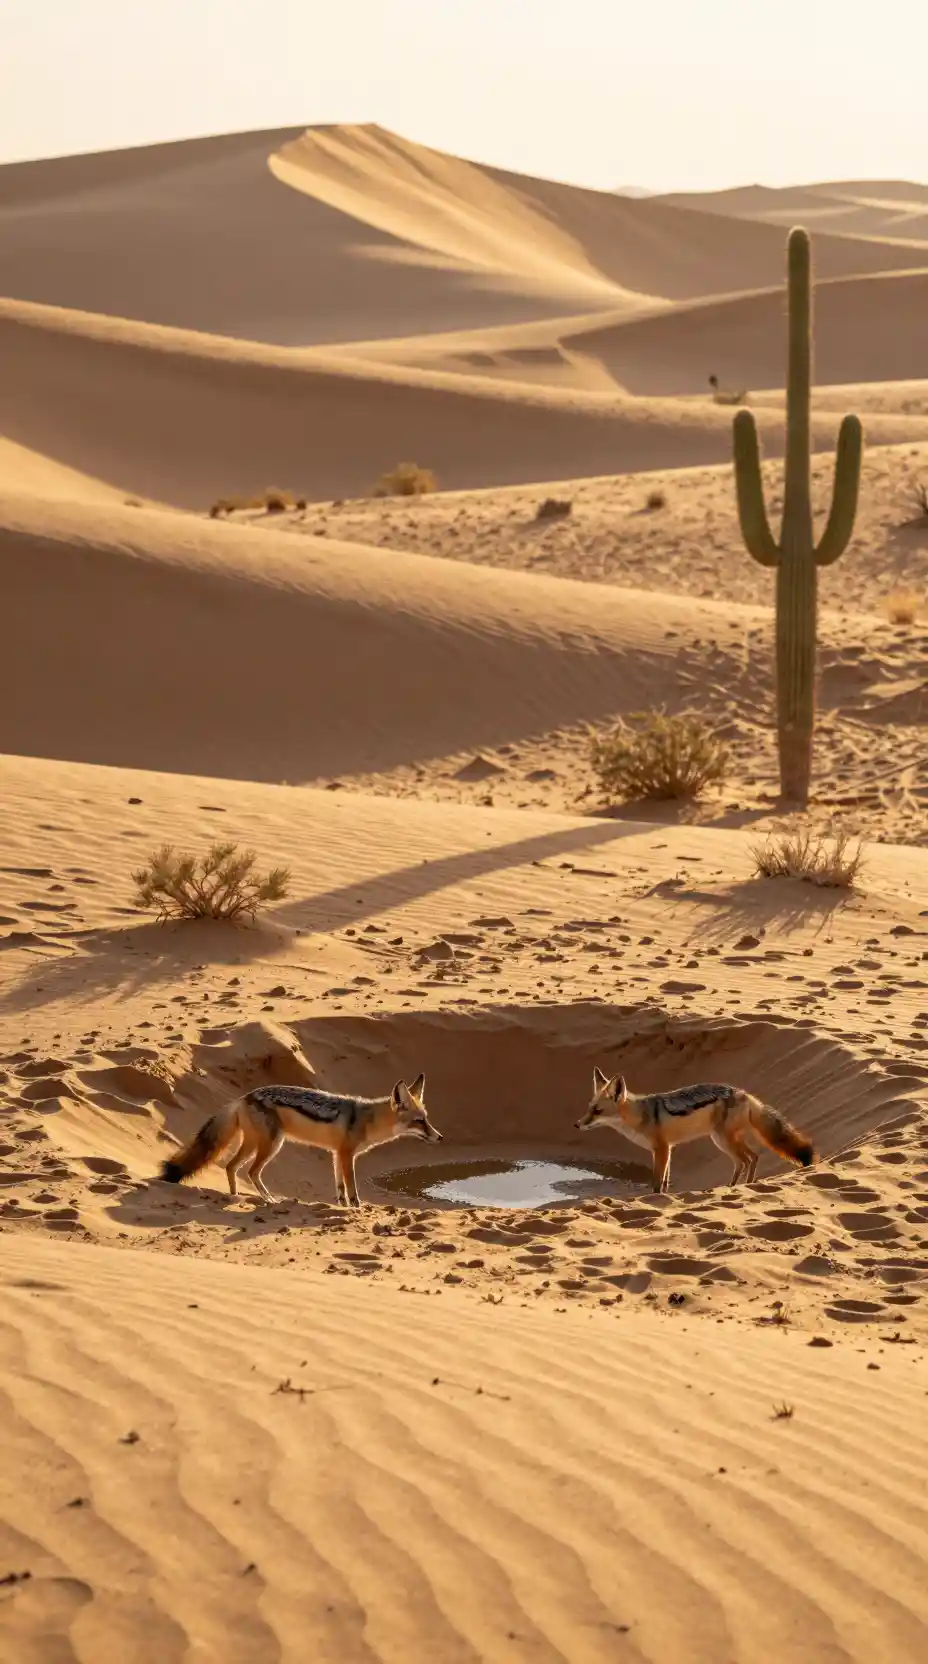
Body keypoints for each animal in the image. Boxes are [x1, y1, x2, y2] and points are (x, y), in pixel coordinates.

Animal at [159, 1074, 441, 1207]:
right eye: (420, 1121)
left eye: (426, 1119)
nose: (439, 1137)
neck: (366, 1119)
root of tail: (244, 1097)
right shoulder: (346, 1155)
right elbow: (352, 1190)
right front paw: (357, 1209)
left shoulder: (336, 1154)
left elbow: (340, 1189)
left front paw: (343, 1207)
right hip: (272, 1146)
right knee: (249, 1171)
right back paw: (267, 1200)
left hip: (253, 1145)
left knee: (230, 1167)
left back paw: (235, 1196)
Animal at [575, 1067, 816, 1194]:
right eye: (589, 1109)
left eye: (597, 1111)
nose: (576, 1125)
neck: (641, 1115)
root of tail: (743, 1092)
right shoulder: (667, 1149)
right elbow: (664, 1183)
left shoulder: (662, 1149)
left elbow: (657, 1183)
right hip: (723, 1141)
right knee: (748, 1159)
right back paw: (734, 1187)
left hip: (724, 1140)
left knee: (750, 1158)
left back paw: (742, 1187)